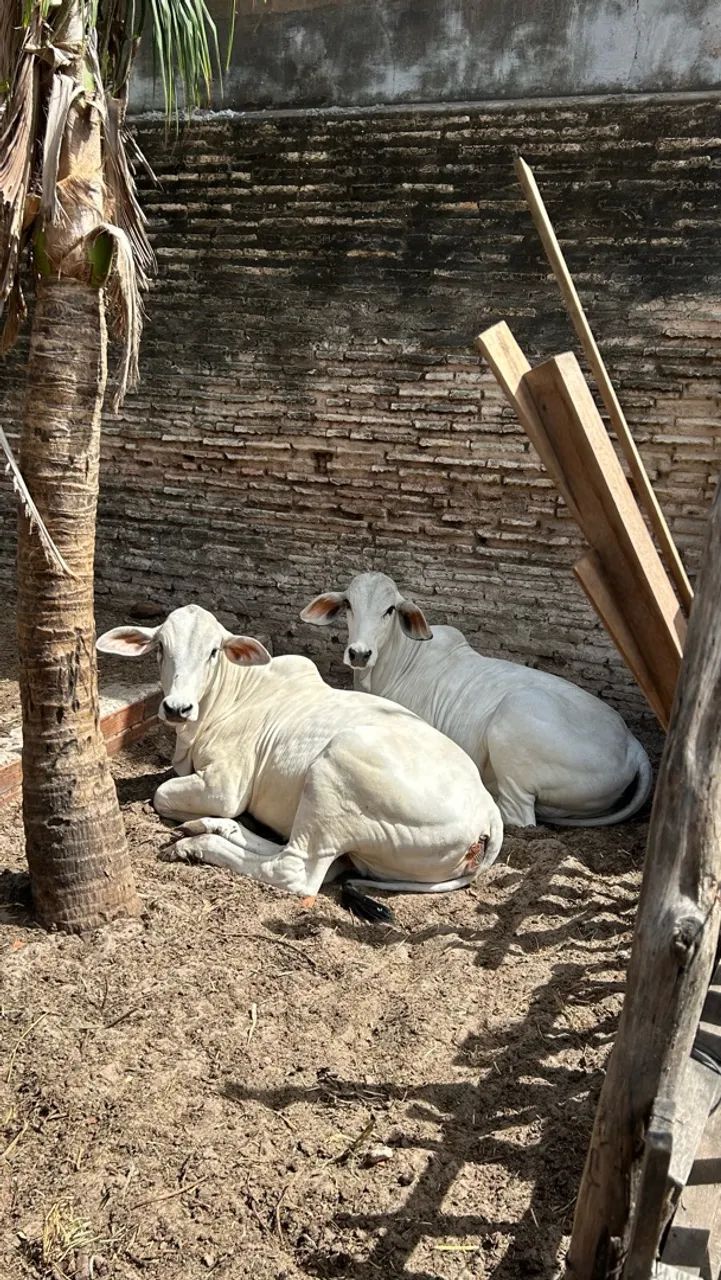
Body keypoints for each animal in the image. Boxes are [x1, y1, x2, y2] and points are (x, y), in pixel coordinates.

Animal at [97, 604, 504, 918]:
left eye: (213, 651)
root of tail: (488, 812)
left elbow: (161, 794)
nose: (177, 708)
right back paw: (209, 827)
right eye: (160, 648)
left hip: (333, 772)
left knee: (294, 870)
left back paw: (198, 843)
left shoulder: (225, 788)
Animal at [300, 571, 653, 829]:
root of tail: (632, 744)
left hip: (514, 720)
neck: (395, 664)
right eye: (349, 605)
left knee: (519, 816)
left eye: (389, 610)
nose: (359, 653)